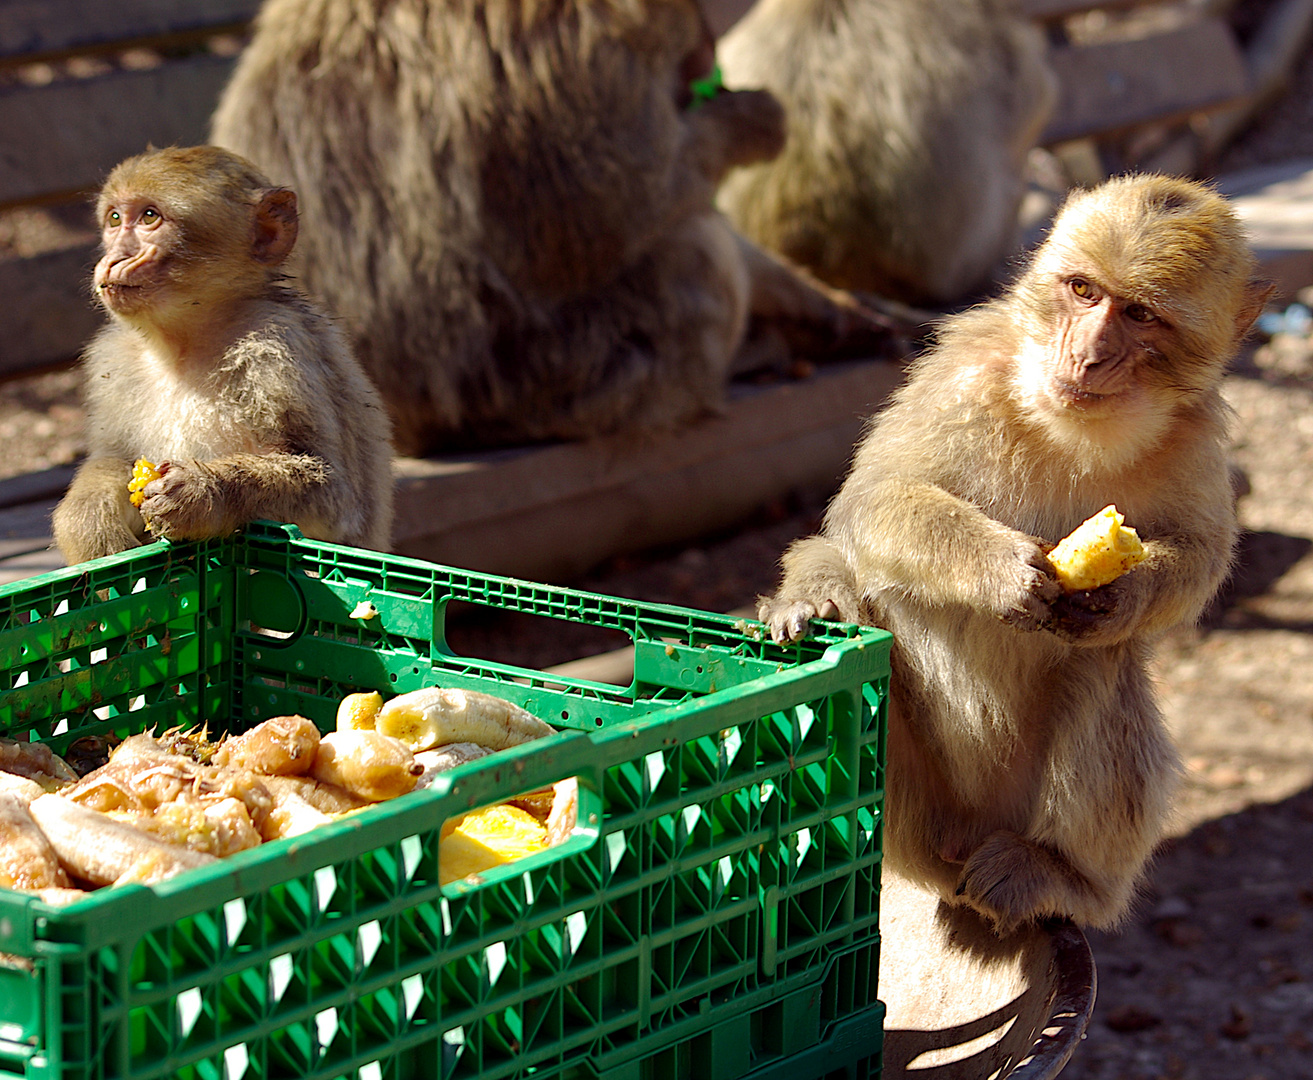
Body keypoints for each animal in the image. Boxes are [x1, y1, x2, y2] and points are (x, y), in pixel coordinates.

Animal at [53, 147, 391, 566]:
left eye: (149, 216)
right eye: (115, 218)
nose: (115, 258)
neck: (182, 345)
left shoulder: (280, 349)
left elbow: (334, 493)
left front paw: (203, 494)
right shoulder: (113, 362)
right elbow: (113, 458)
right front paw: (88, 520)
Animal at [761, 173, 1270, 934]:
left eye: (1139, 315)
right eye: (1082, 290)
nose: (1087, 354)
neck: (1074, 428)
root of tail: (961, 842)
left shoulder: (1194, 433)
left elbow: (1201, 554)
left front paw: (1119, 597)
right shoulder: (963, 377)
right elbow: (871, 504)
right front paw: (998, 571)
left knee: (1102, 666)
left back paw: (1060, 876)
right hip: (911, 814)